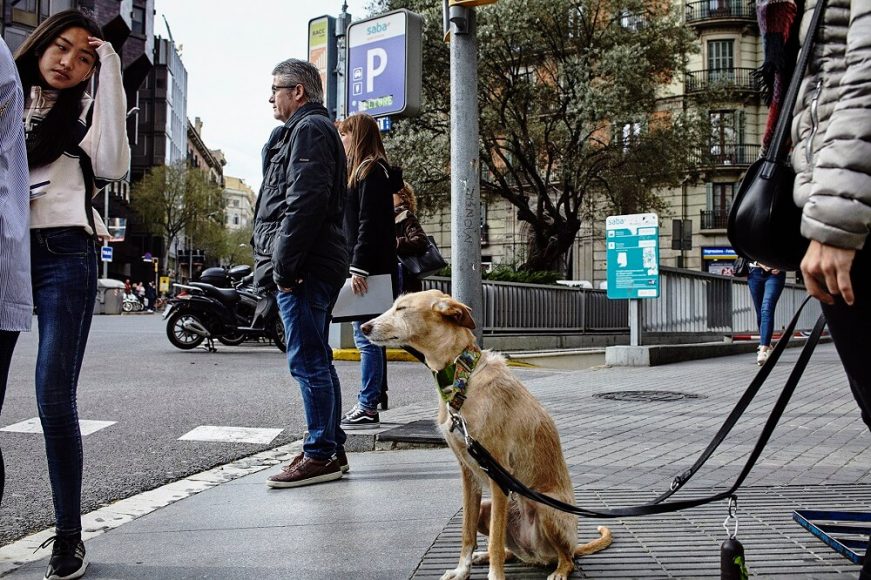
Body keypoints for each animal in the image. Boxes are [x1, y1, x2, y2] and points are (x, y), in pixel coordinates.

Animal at [358, 292, 608, 580]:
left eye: (401, 308)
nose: (364, 327)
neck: (463, 379)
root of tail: (538, 554)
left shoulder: (498, 473)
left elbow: (494, 541)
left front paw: (495, 576)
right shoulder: (468, 473)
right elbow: (466, 532)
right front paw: (461, 569)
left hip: (546, 508)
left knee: (566, 557)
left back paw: (559, 570)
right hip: (491, 509)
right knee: (511, 550)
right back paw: (488, 557)